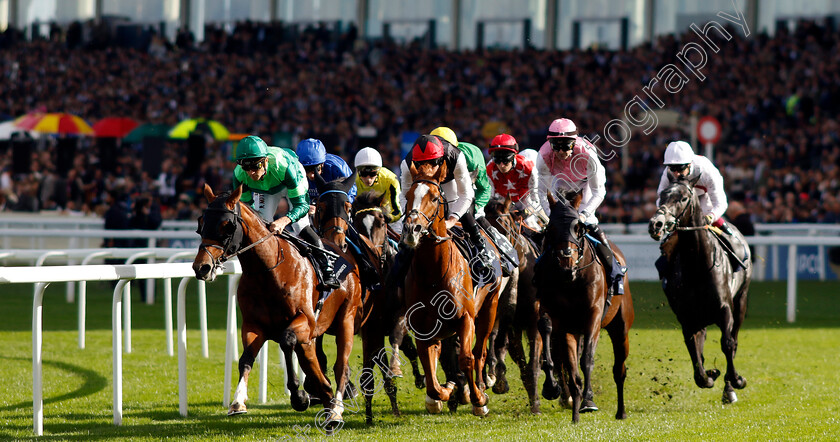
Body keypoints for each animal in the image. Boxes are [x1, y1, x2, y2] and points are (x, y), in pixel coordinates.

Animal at [194, 183, 364, 428]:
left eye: (227, 226)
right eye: (200, 224)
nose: (202, 268)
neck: (268, 271)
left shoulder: (306, 321)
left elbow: (287, 340)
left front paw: (299, 396)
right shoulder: (254, 325)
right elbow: (246, 359)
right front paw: (238, 401)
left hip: (346, 319)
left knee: (341, 366)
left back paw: (335, 410)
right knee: (313, 360)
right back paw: (325, 395)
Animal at [398, 161, 498, 416]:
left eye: (434, 197)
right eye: (408, 195)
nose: (412, 229)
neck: (434, 273)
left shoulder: (466, 318)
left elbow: (466, 358)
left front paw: (478, 399)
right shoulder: (422, 328)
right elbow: (431, 376)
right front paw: (445, 393)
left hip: (489, 307)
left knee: (480, 351)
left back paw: (480, 387)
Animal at [480, 197, 544, 414]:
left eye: (505, 225)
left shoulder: (534, 323)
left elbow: (533, 365)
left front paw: (536, 404)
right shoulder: (509, 321)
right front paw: (496, 378)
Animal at [536, 191, 632, 424]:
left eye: (578, 228)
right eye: (551, 228)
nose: (566, 265)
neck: (572, 281)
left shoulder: (593, 315)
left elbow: (586, 358)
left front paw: (588, 399)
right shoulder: (563, 323)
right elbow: (571, 366)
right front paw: (575, 412)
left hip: (620, 328)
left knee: (619, 369)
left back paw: (621, 411)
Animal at [648, 173, 752, 404]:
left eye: (684, 197)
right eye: (662, 195)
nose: (656, 224)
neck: (697, 266)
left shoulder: (725, 309)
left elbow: (727, 344)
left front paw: (736, 381)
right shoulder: (687, 317)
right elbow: (695, 354)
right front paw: (709, 375)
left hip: (741, 300)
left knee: (734, 340)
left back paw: (730, 387)